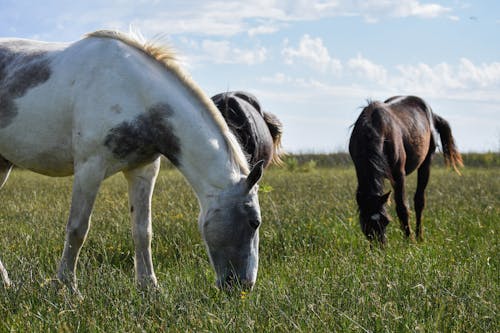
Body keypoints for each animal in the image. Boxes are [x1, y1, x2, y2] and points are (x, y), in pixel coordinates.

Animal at [0, 30, 266, 290]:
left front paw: (149, 287)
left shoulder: (143, 170)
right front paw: (66, 286)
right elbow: (77, 229)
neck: (135, 93)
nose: (244, 286)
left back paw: (6, 282)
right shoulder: (89, 168)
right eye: (255, 222)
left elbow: (142, 231)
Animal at [350, 94, 462, 243]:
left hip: (426, 162)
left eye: (386, 221)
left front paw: (410, 241)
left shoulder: (398, 174)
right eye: (365, 223)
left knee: (419, 201)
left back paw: (419, 236)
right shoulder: (360, 170)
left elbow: (402, 207)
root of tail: (432, 113)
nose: (380, 246)